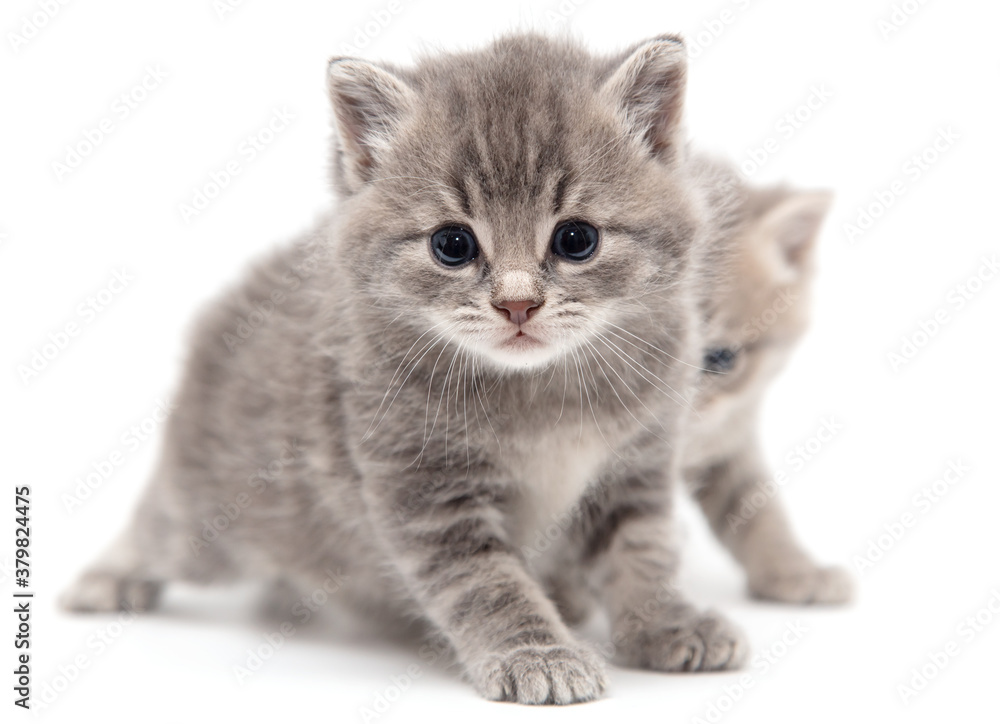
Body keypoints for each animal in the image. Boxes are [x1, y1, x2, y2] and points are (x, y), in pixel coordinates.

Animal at [62, 35, 836, 708]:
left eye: (577, 239)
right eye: (452, 245)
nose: (518, 303)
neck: (543, 395)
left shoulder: (637, 466)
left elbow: (642, 552)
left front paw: (666, 624)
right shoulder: (427, 491)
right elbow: (488, 581)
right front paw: (538, 654)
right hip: (211, 523)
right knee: (159, 526)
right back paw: (103, 582)